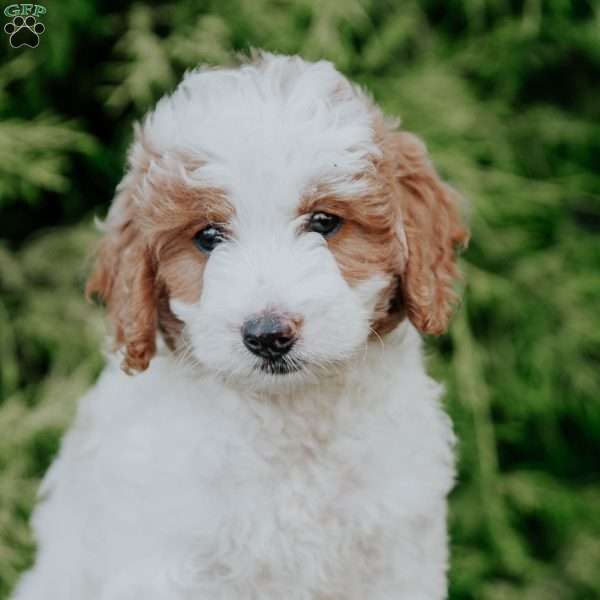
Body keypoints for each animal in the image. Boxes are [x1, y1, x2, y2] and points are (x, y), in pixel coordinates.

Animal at [10, 52, 468, 600]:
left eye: (324, 222)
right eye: (208, 237)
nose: (269, 335)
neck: (290, 420)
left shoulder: (396, 556)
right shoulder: (166, 562)